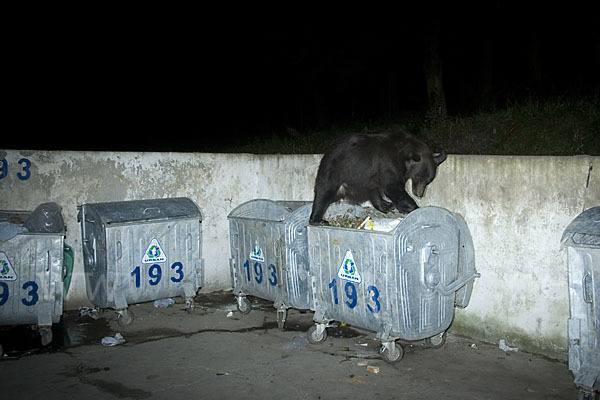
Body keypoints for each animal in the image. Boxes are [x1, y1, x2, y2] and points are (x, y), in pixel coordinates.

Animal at [310, 128, 446, 225]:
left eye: (428, 180)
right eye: (418, 177)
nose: (419, 194)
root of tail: (328, 150)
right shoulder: (387, 162)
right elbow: (392, 187)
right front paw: (414, 207)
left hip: (366, 178)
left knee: (373, 191)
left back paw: (386, 205)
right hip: (336, 169)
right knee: (324, 191)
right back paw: (318, 219)